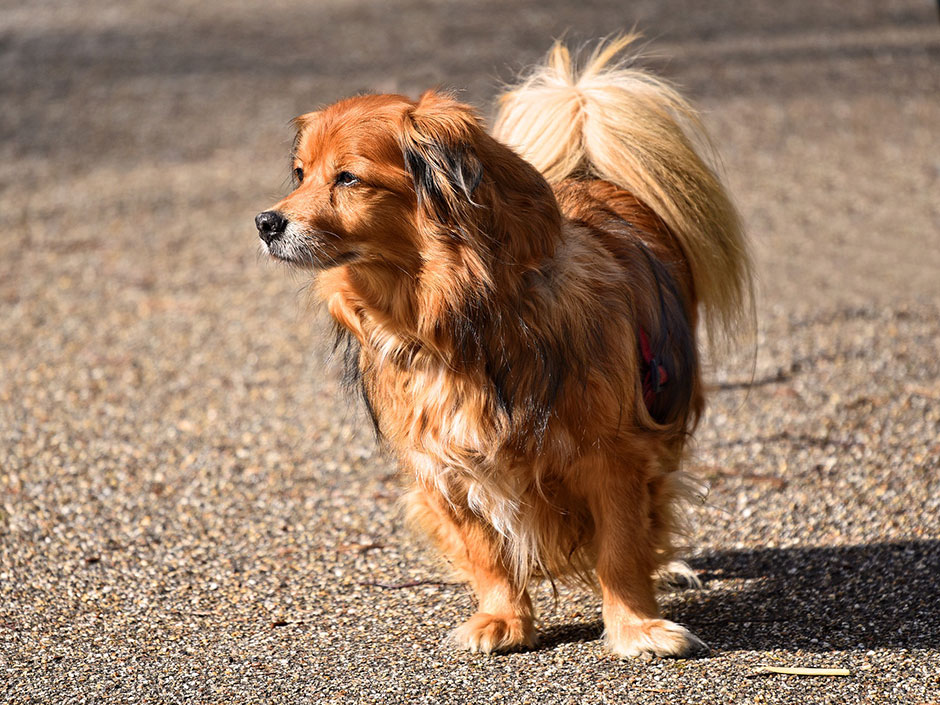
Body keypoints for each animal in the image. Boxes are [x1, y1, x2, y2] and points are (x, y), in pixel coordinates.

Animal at [253, 37, 752, 656]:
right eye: (300, 174)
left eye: (347, 178)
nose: (265, 222)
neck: (457, 321)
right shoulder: (443, 462)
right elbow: (486, 552)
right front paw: (502, 619)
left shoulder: (616, 456)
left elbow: (620, 549)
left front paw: (636, 628)